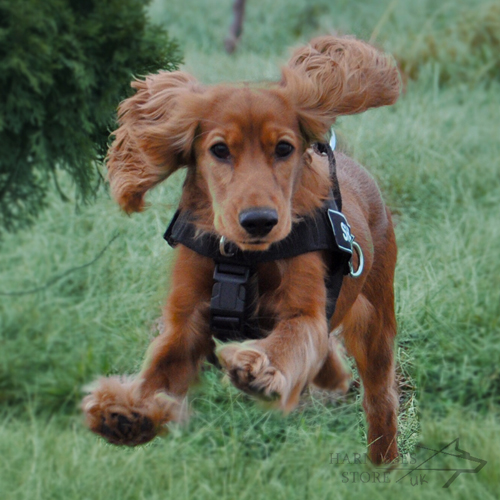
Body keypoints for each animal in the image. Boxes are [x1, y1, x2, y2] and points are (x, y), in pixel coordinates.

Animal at [83, 36, 402, 464]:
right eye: (220, 150)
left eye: (284, 148)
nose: (259, 221)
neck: (244, 258)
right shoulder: (186, 322)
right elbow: (161, 368)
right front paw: (128, 411)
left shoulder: (304, 313)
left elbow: (293, 339)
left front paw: (261, 369)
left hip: (375, 320)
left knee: (379, 397)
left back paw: (384, 463)